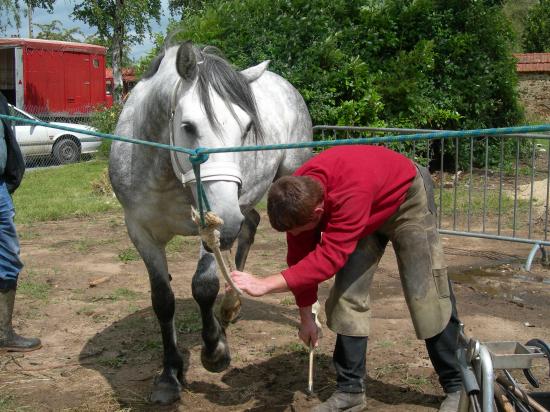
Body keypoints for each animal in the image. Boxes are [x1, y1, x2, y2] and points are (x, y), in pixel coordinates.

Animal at [108, 41, 312, 402]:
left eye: (246, 128)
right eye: (188, 126)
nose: (226, 223)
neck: (163, 174)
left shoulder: (209, 226)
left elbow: (204, 286)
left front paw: (215, 351)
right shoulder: (140, 231)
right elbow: (163, 301)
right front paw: (169, 375)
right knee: (249, 225)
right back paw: (231, 304)